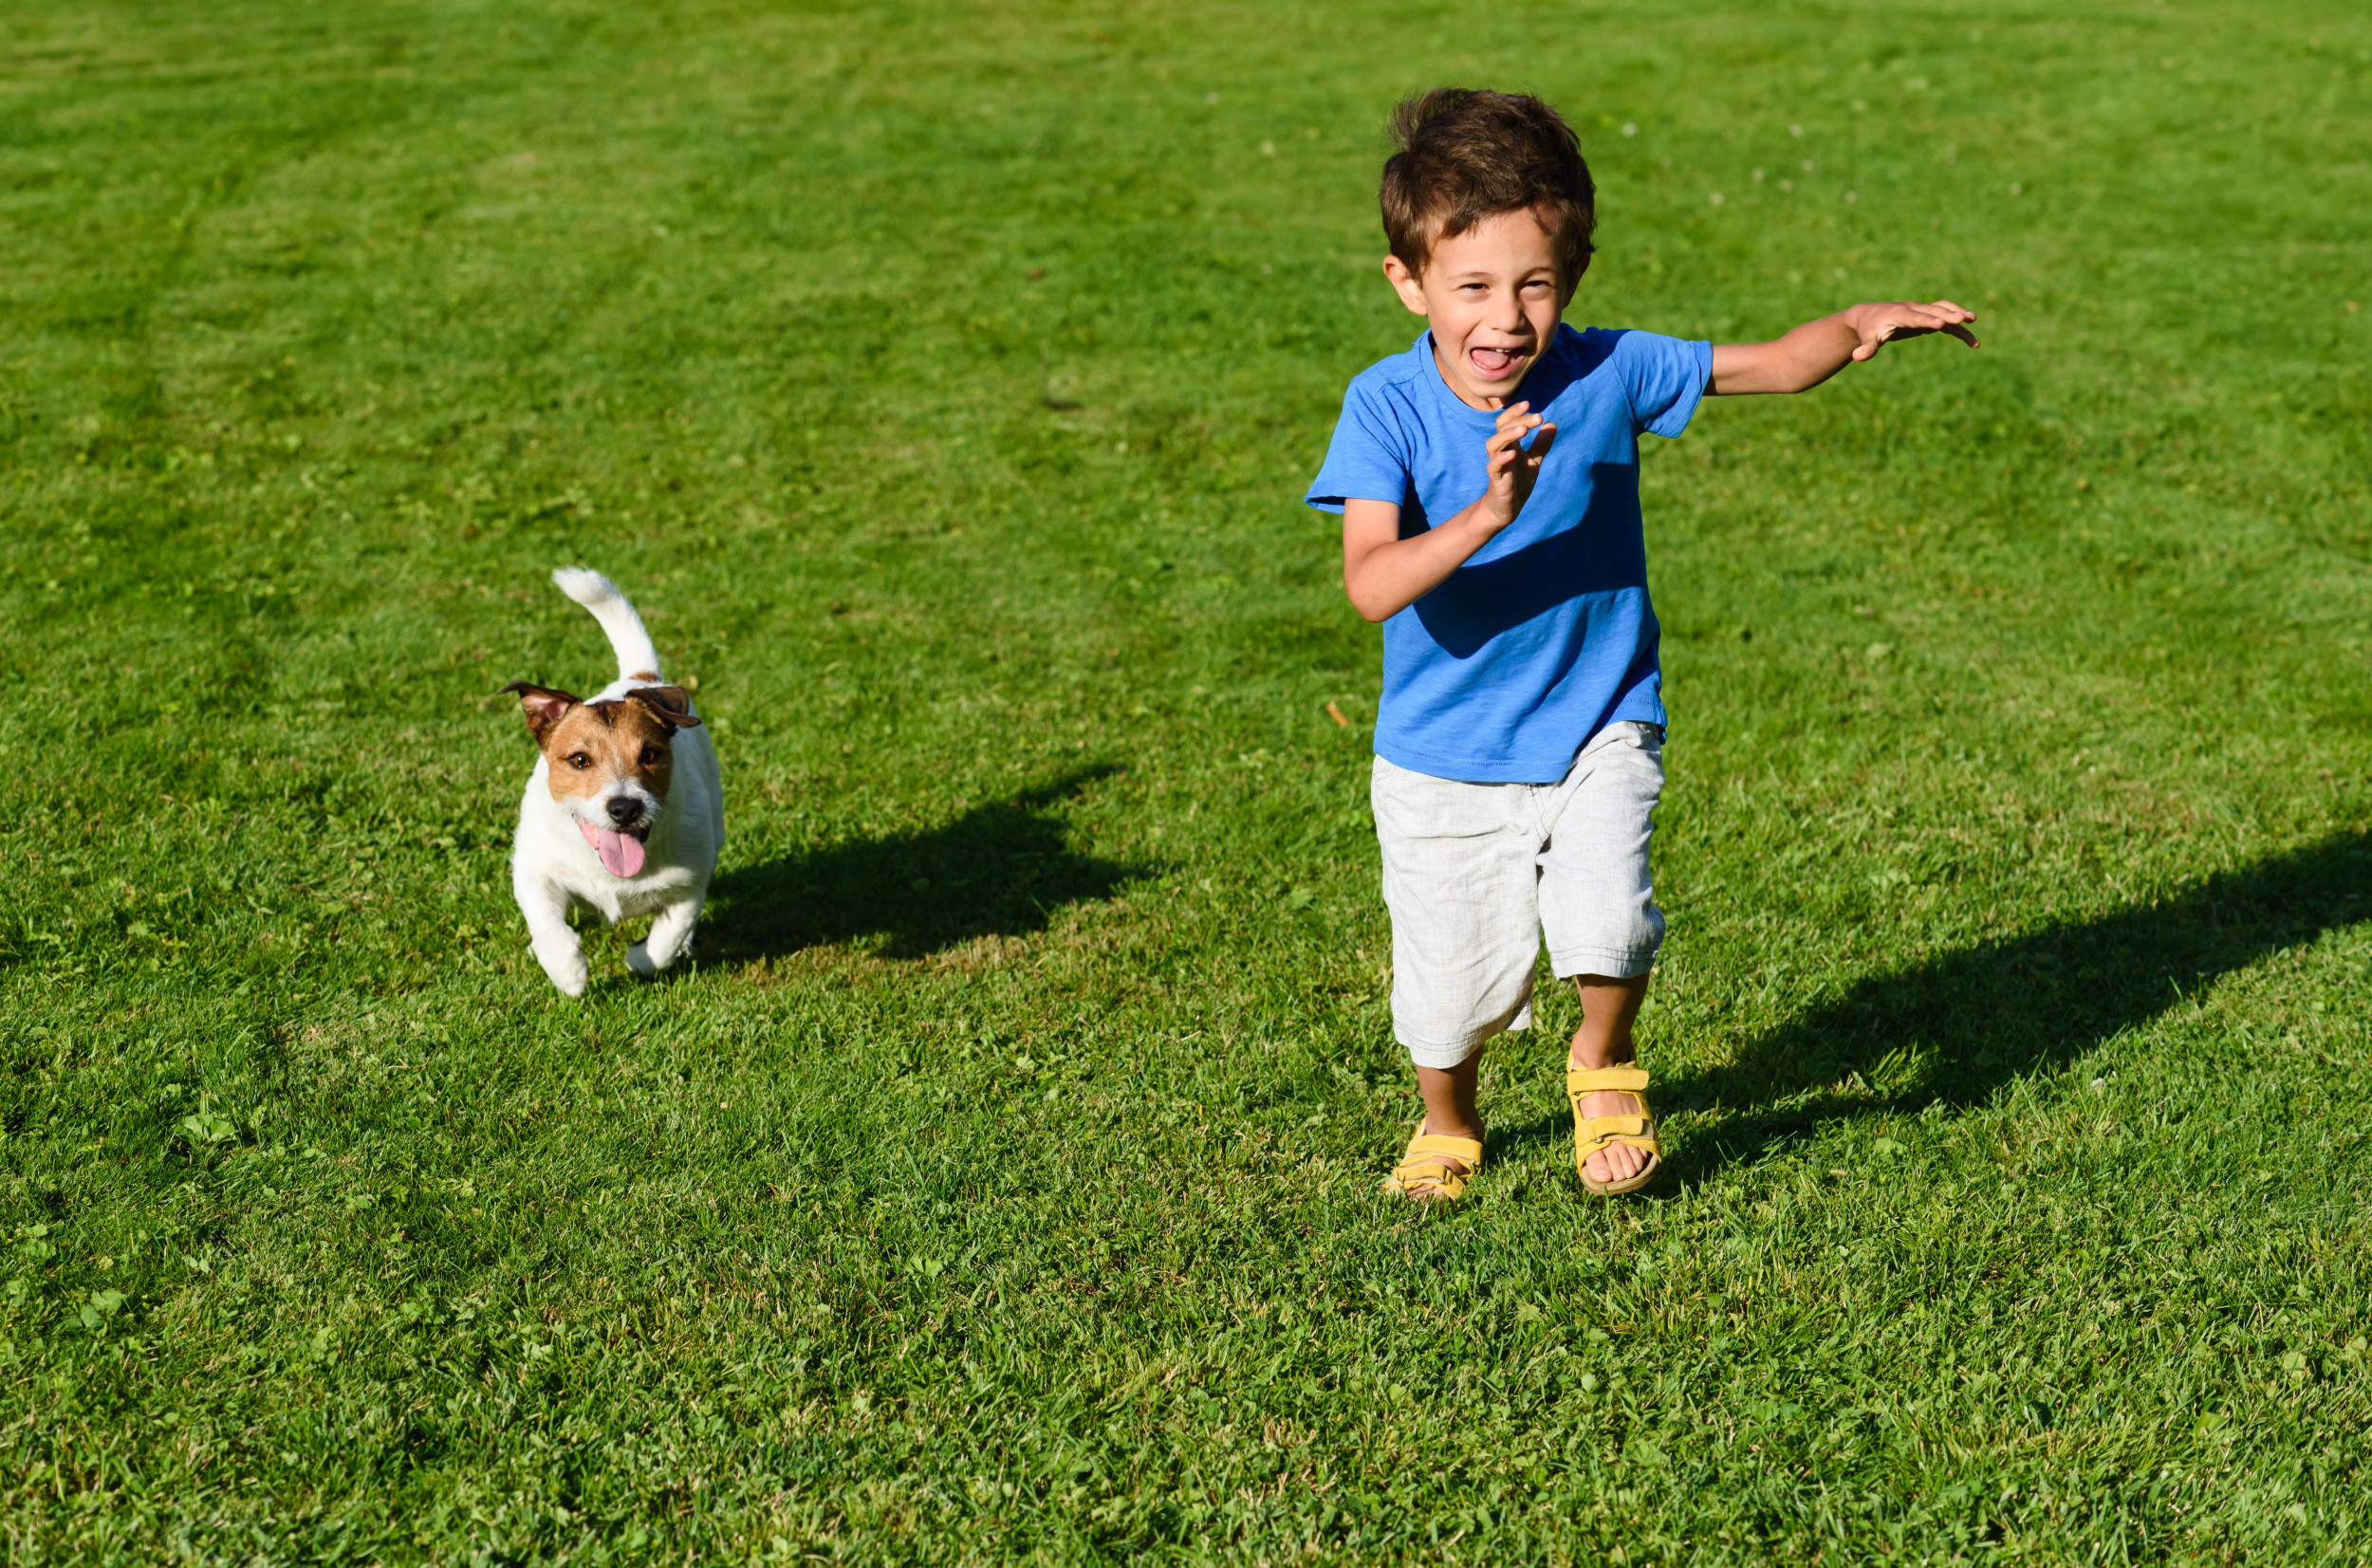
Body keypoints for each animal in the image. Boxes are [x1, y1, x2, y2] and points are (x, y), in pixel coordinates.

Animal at [500, 569, 721, 996]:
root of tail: (640, 678)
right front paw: (567, 972)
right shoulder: (533, 868)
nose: (625, 808)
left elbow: (667, 938)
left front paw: (641, 958)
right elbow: (546, 922)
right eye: (579, 760)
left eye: (650, 754)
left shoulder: (689, 884)